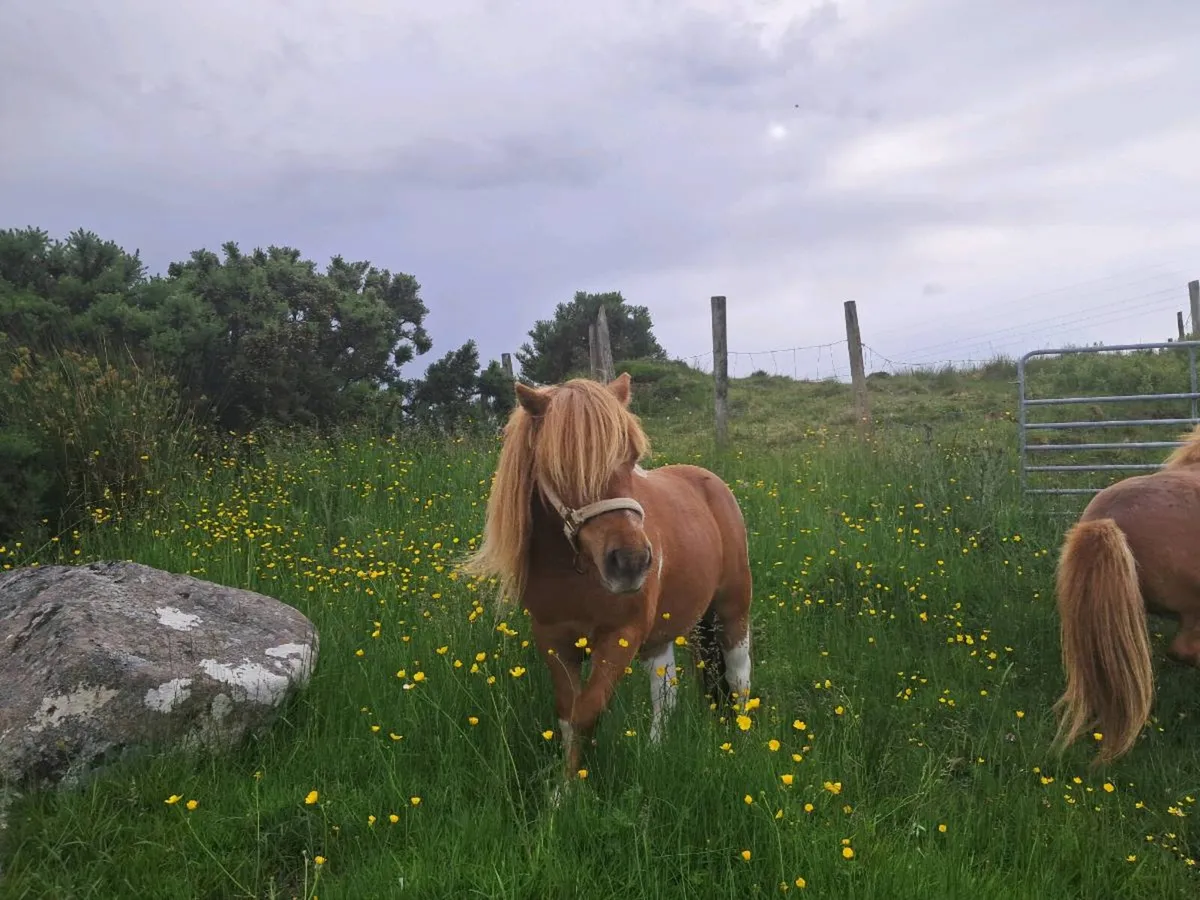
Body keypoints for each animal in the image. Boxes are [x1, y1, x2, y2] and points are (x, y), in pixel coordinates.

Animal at [462, 372, 754, 779]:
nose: (632, 562)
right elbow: (568, 715)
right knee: (665, 692)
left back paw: (741, 742)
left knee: (738, 678)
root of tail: (709, 480)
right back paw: (655, 752)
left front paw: (567, 788)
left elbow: (586, 712)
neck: (576, 572)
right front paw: (567, 784)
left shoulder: (621, 636)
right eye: (561, 463)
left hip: (732, 608)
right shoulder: (553, 640)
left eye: (631, 456)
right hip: (662, 633)